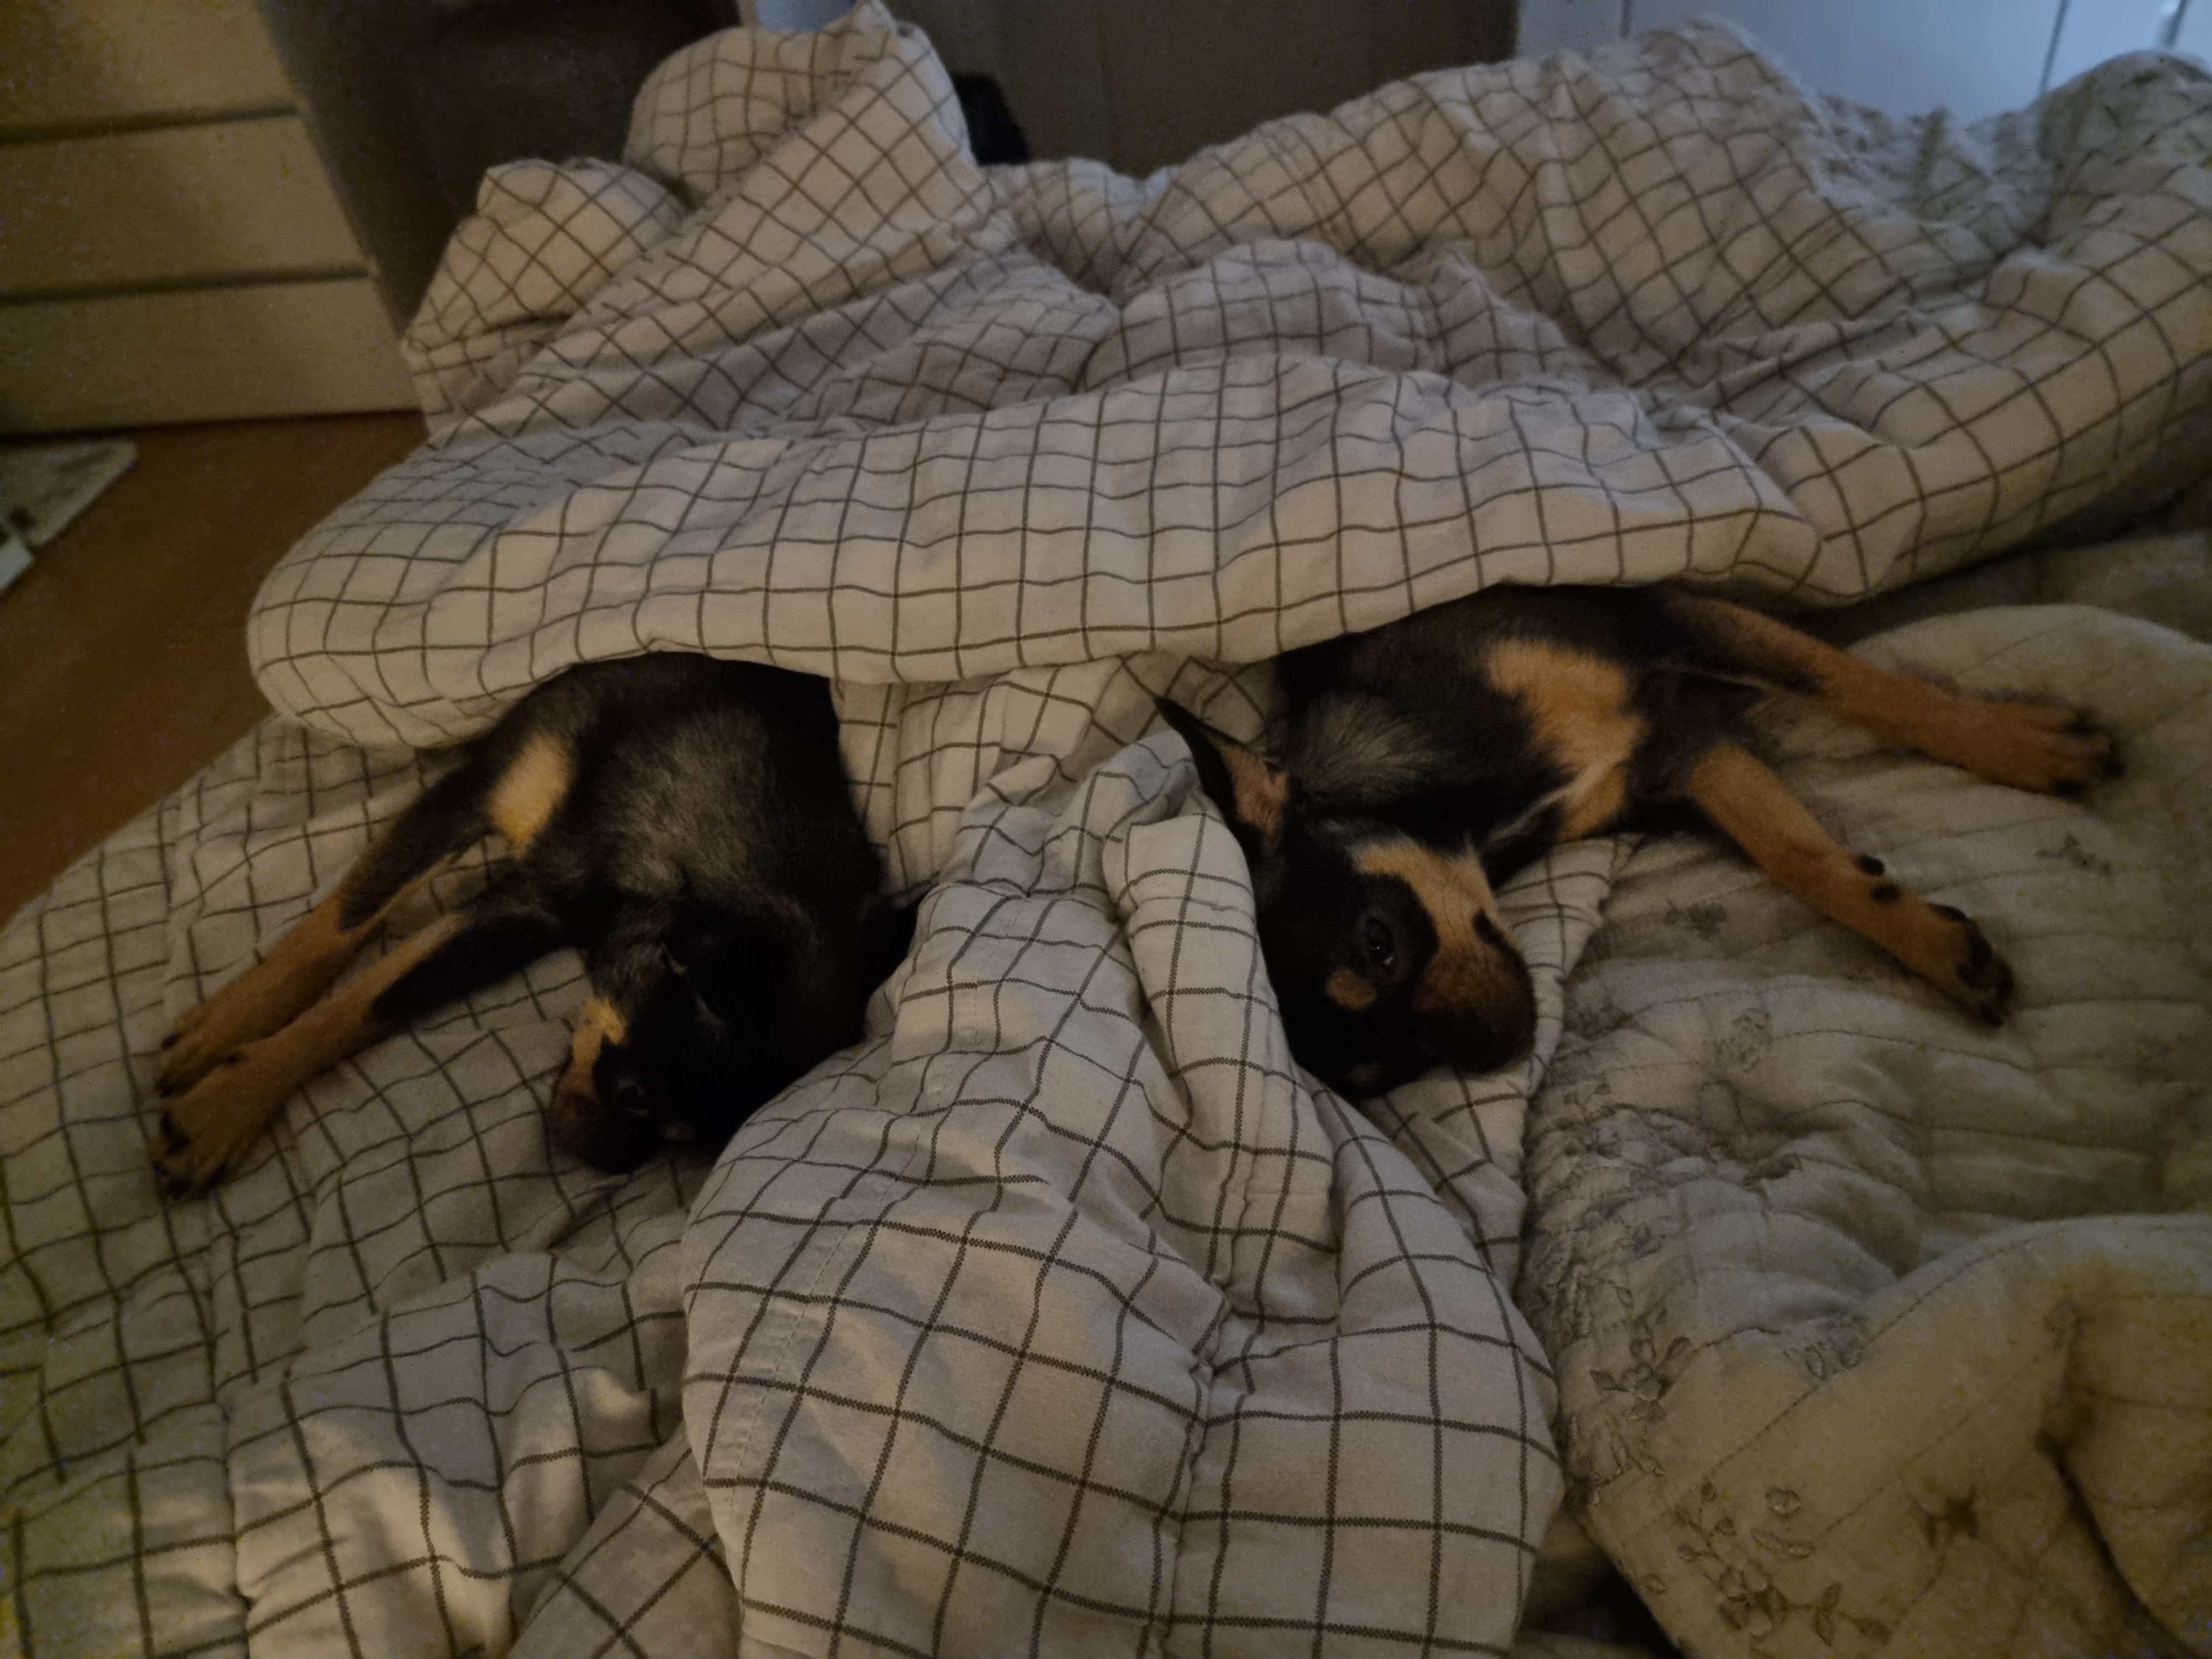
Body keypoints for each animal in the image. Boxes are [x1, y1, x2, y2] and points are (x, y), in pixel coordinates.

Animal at [154, 654, 912, 1193]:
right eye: (638, 1099)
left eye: (693, 1141)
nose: (600, 1163)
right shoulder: (473, 793)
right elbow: (344, 923)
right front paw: (226, 1038)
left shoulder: (524, 912)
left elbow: (368, 1002)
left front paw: (227, 1099)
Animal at [1156, 584, 2117, 1100]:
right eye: (1383, 1071)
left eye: (1378, 940)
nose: (1502, 1053)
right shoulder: (1683, 757)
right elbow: (1799, 855)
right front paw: (1931, 943)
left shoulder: (1662, 618)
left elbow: (1858, 687)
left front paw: (2020, 746)